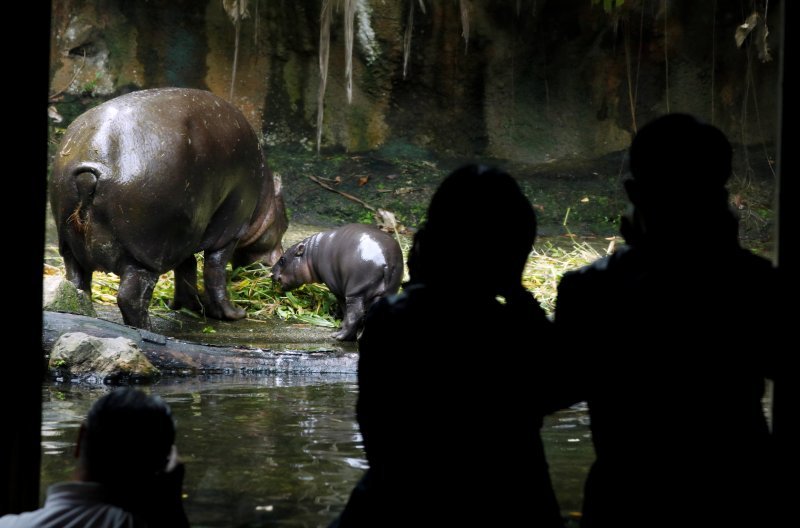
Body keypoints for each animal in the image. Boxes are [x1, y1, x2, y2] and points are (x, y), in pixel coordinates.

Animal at [50, 88, 288, 328]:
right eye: (285, 225)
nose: (279, 259)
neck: (265, 198)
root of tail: (90, 169)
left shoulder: (185, 237)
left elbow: (187, 270)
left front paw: (190, 307)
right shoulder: (230, 230)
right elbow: (214, 271)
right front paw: (234, 314)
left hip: (70, 245)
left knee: (76, 283)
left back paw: (82, 311)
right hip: (146, 254)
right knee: (130, 297)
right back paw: (147, 328)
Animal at [272, 224, 404, 342]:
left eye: (282, 259)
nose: (271, 271)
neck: (311, 253)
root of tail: (385, 260)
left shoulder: (336, 289)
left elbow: (343, 307)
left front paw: (340, 323)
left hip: (355, 292)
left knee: (355, 314)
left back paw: (339, 336)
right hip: (388, 291)